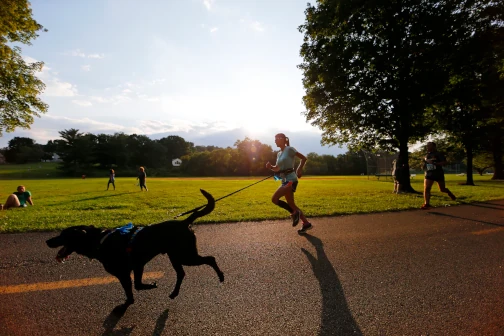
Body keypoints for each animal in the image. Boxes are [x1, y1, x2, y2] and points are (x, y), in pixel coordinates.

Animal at [46, 189, 224, 304]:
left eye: (63, 235)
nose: (48, 241)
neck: (99, 241)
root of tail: (184, 222)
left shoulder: (130, 269)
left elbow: (134, 287)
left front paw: (144, 290)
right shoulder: (135, 267)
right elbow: (133, 287)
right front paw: (135, 296)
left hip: (185, 255)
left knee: (210, 258)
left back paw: (221, 276)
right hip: (175, 256)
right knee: (182, 273)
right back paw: (174, 293)